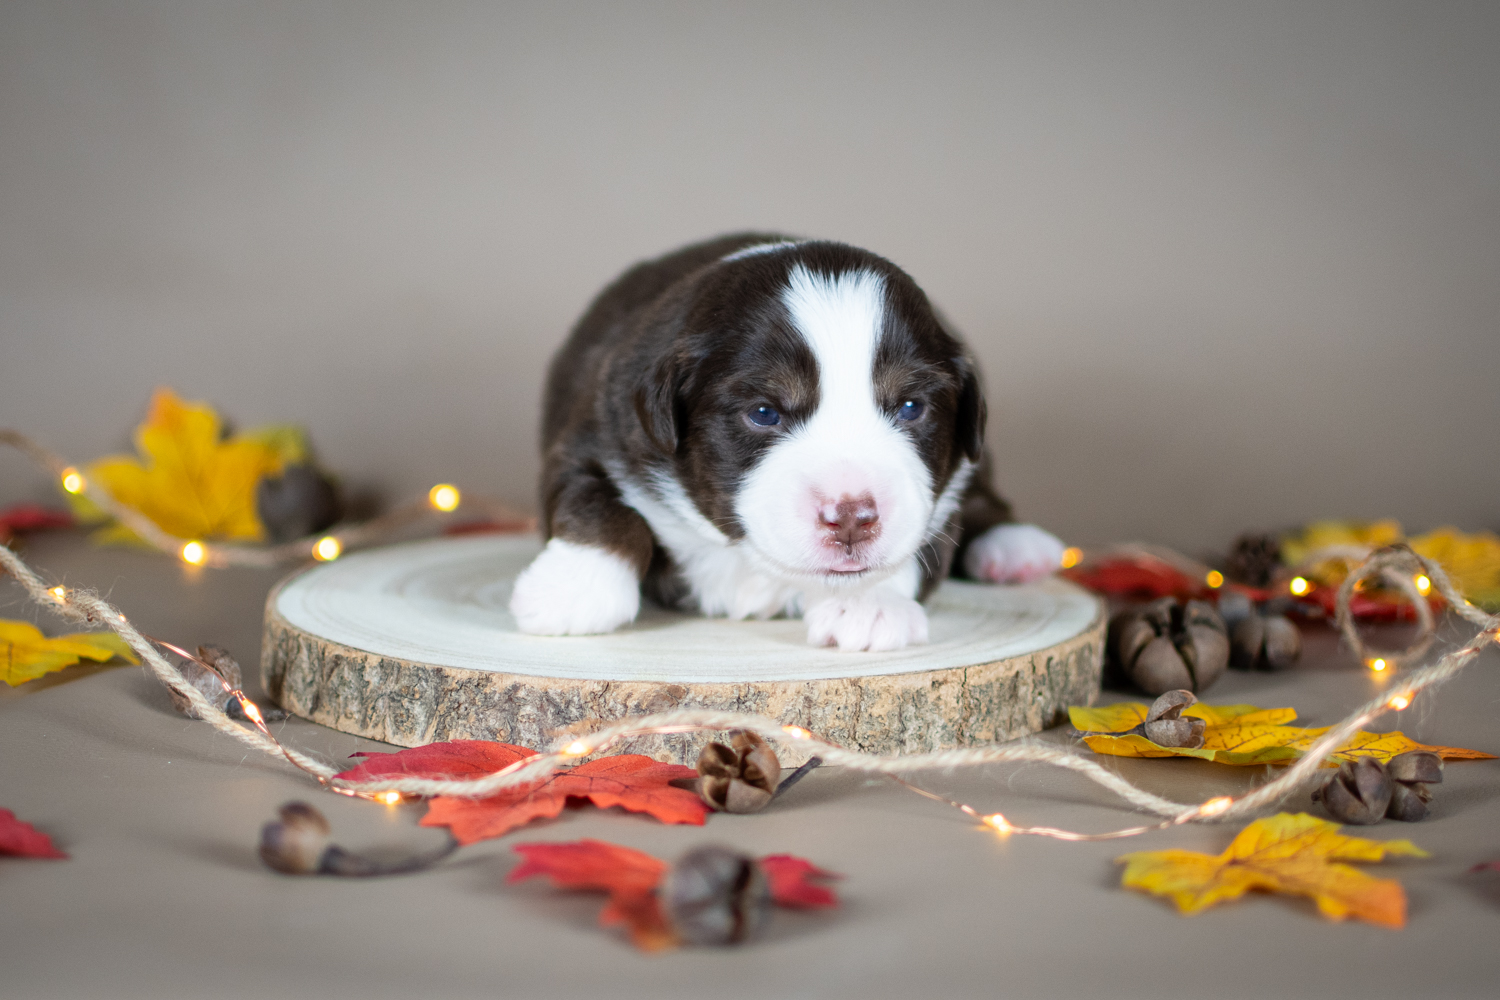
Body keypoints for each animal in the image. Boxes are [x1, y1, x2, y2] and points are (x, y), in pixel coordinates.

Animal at [516, 238, 1068, 653]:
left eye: (911, 407)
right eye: (764, 413)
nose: (851, 518)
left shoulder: (937, 497)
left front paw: (867, 604)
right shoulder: (599, 430)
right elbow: (599, 506)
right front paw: (571, 590)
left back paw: (1017, 546)